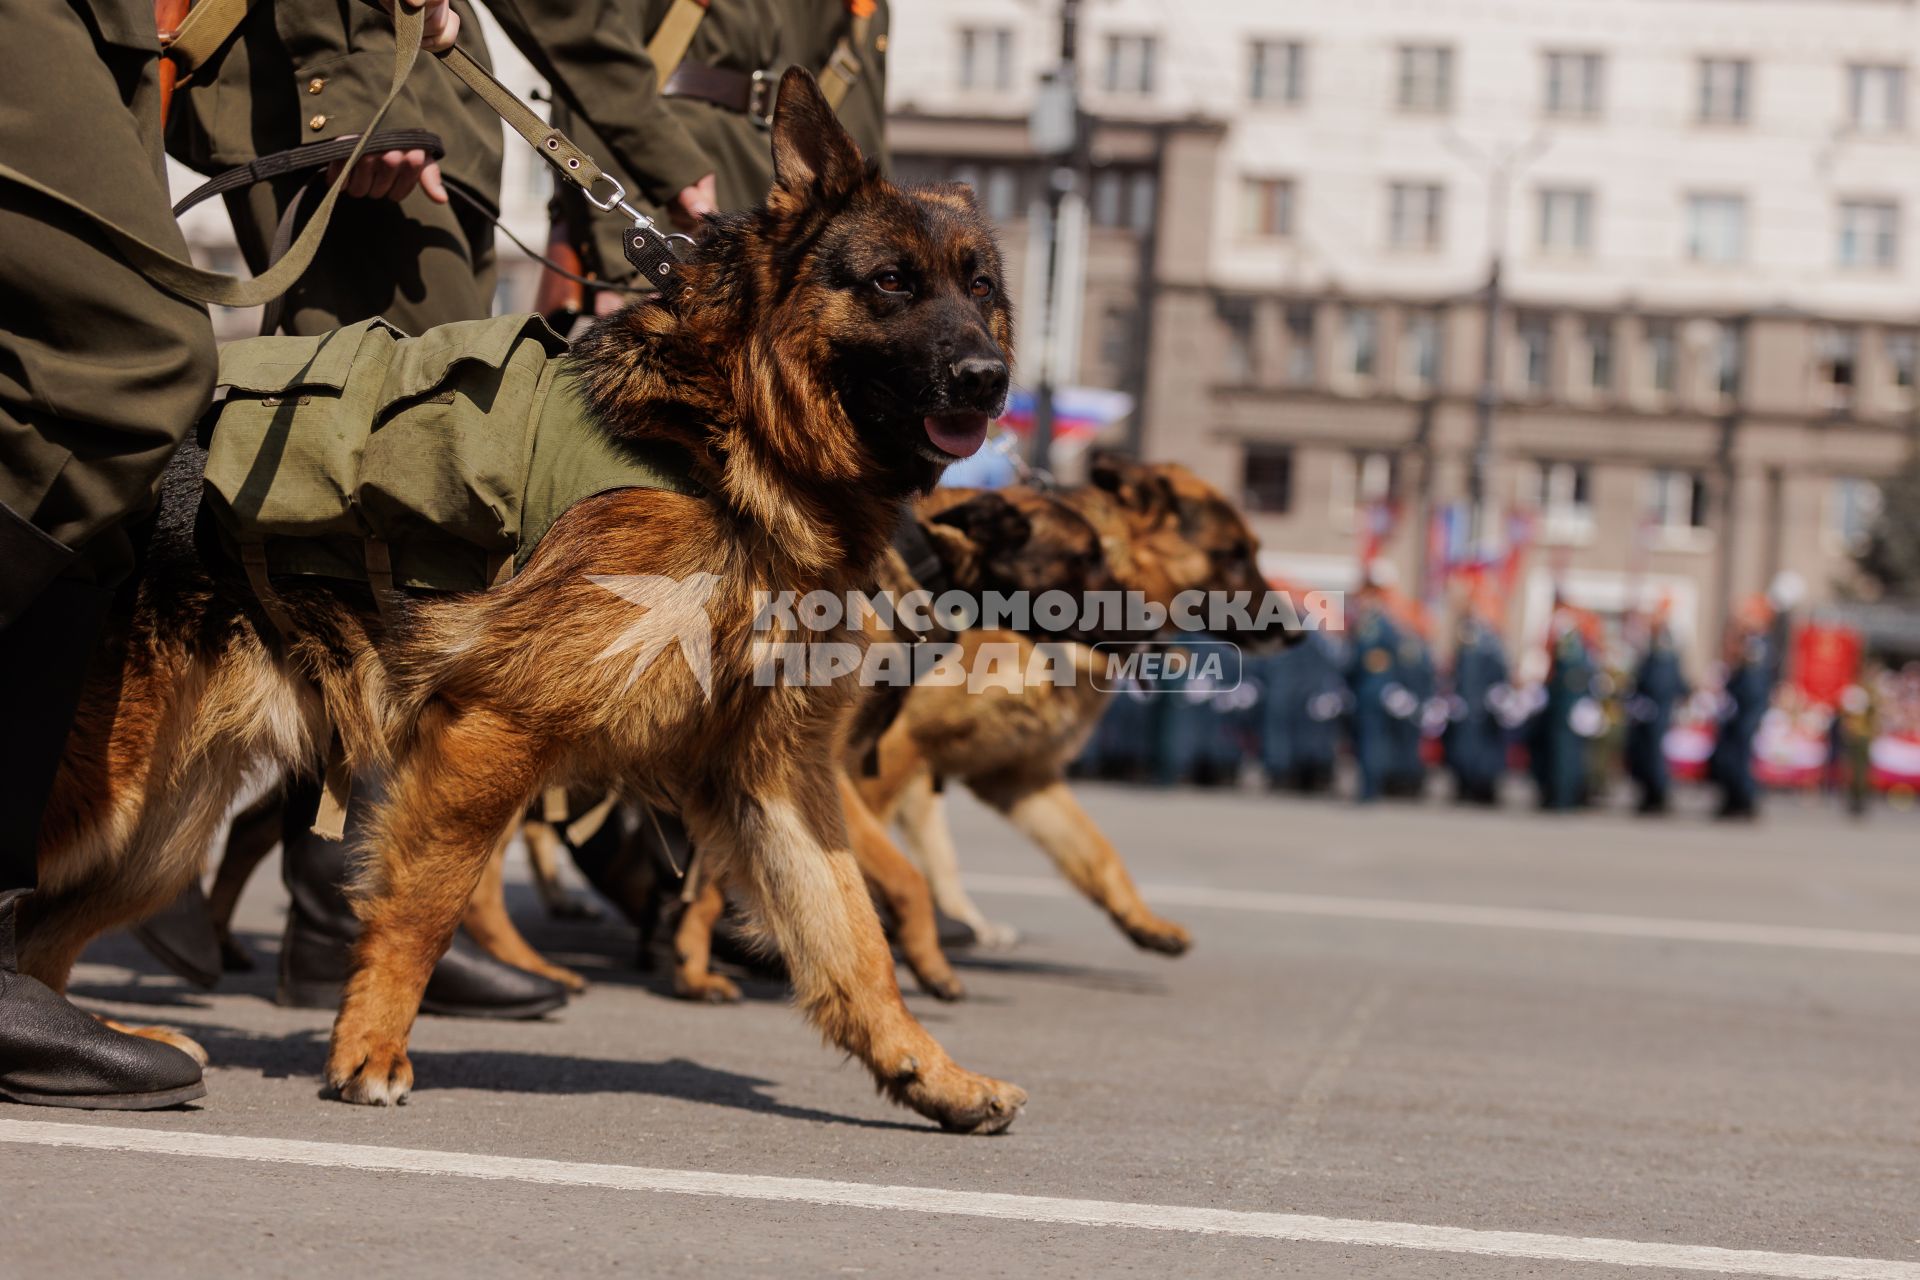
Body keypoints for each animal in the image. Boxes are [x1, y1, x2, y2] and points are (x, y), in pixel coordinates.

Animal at [18, 70, 1036, 1128]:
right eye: (891, 283)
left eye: (980, 289)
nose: (989, 378)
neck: (732, 435)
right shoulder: (498, 727)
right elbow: (425, 907)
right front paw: (370, 1049)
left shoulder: (776, 779)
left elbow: (854, 939)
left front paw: (930, 1072)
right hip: (109, 794)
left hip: (156, 828)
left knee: (44, 927)